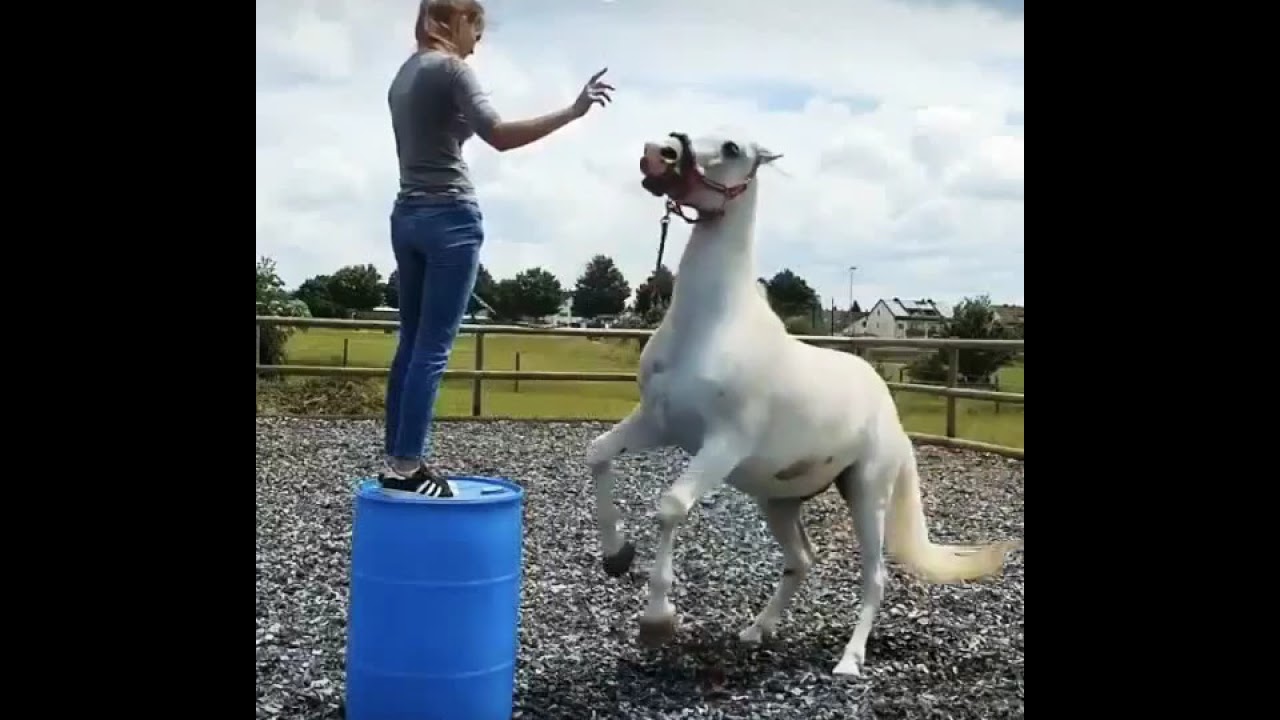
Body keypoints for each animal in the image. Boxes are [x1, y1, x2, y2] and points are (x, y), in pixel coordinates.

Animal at [583, 130, 1022, 677]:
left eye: (731, 148)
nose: (657, 153)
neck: (711, 326)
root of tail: (890, 412)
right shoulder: (657, 423)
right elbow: (598, 453)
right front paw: (616, 555)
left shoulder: (722, 443)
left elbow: (671, 506)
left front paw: (657, 620)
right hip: (778, 500)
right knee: (802, 560)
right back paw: (756, 630)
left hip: (867, 494)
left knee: (875, 578)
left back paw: (849, 661)